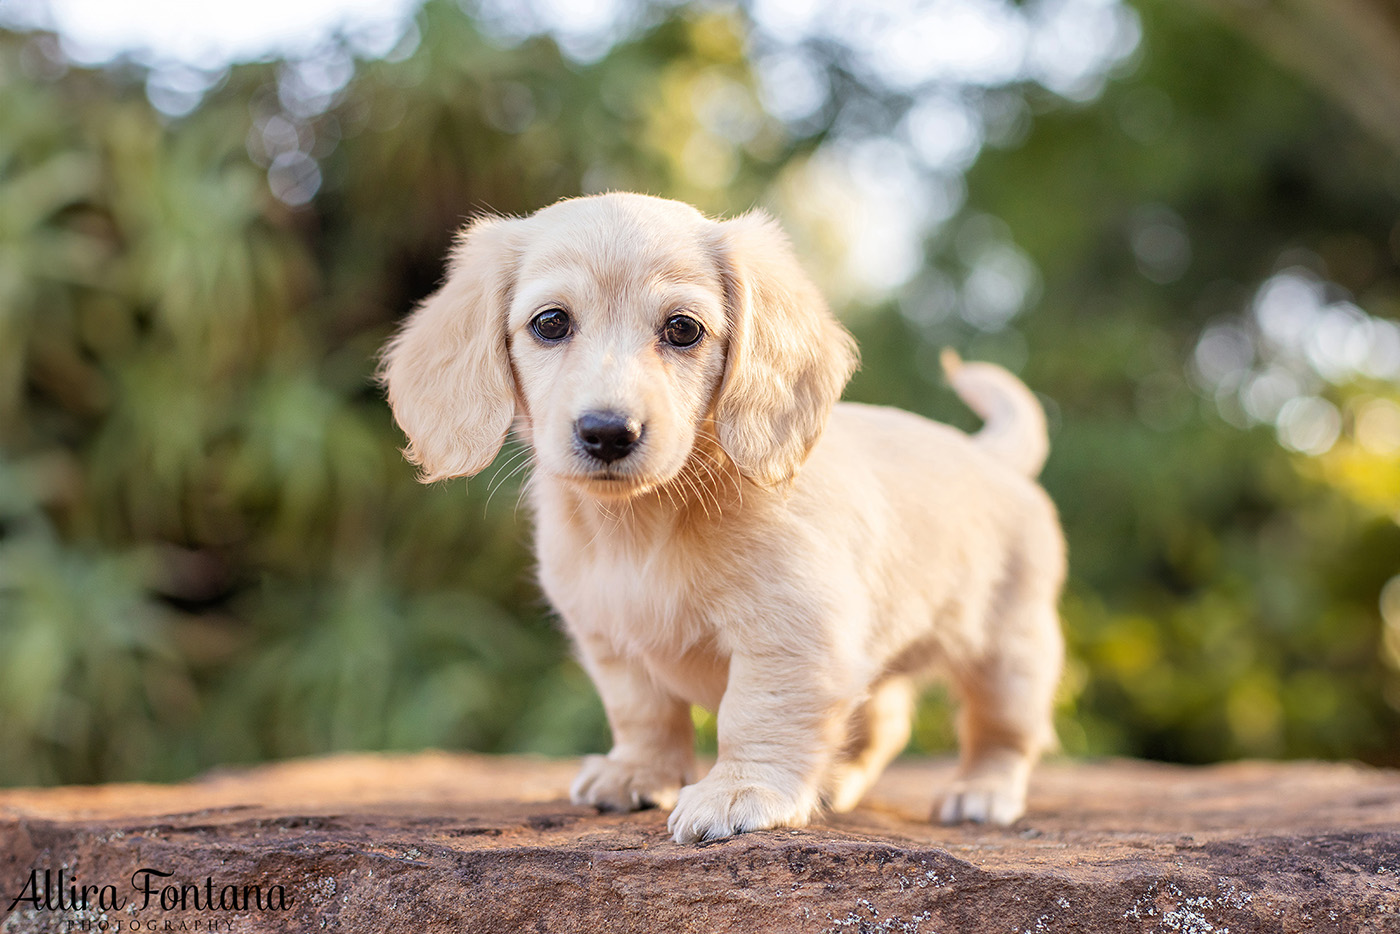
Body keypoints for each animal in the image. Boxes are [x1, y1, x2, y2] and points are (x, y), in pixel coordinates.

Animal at [378, 193, 1064, 845]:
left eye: (683, 329)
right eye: (550, 323)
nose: (608, 433)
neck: (646, 524)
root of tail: (991, 455)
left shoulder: (789, 636)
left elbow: (755, 714)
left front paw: (740, 792)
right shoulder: (610, 640)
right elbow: (642, 712)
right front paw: (638, 774)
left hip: (1010, 654)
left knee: (1002, 731)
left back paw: (980, 791)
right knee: (882, 722)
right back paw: (834, 781)